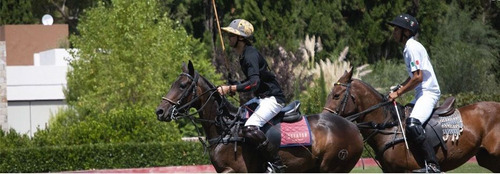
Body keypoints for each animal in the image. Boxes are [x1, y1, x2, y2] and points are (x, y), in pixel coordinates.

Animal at [154, 60, 362, 172]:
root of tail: (354, 128)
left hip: (333, 166)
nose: (160, 111)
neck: (226, 128)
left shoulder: (236, 170)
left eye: (182, 85)